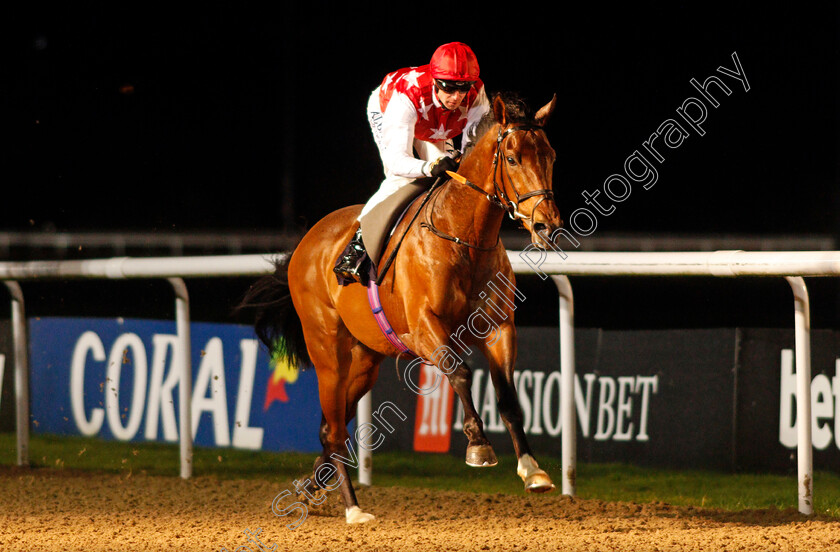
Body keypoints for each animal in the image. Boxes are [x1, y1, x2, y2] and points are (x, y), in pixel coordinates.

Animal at [236, 92, 564, 524]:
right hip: (328, 352)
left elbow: (508, 396)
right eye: (511, 158)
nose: (546, 226)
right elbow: (460, 371)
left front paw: (533, 469)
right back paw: (353, 508)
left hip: (364, 362)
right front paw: (478, 445)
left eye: (551, 155)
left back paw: (313, 485)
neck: (462, 236)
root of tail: (306, 242)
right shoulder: (424, 328)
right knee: (333, 429)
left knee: (330, 427)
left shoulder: (499, 327)